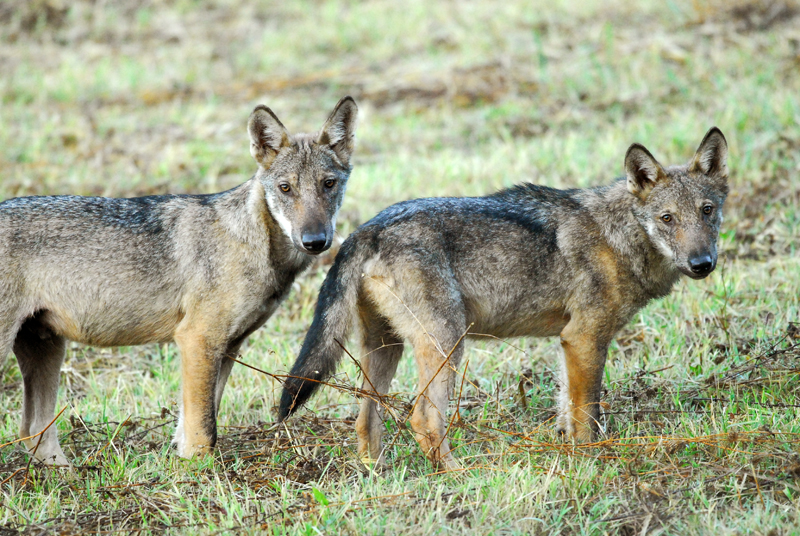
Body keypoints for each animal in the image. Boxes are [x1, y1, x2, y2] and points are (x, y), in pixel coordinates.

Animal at [0, 96, 356, 464]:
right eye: (286, 188)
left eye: (328, 184)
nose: (315, 241)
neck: (253, 241)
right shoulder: (197, 339)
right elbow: (203, 433)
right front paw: (199, 474)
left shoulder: (226, 348)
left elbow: (193, 426)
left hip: (49, 350)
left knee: (33, 431)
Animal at [278, 127, 728, 466]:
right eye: (667, 219)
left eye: (707, 211)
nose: (702, 263)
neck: (619, 236)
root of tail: (364, 230)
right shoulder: (585, 338)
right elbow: (587, 415)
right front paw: (593, 458)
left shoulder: (569, 342)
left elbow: (567, 409)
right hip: (446, 344)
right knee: (423, 419)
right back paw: (458, 474)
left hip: (387, 349)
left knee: (367, 420)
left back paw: (379, 474)